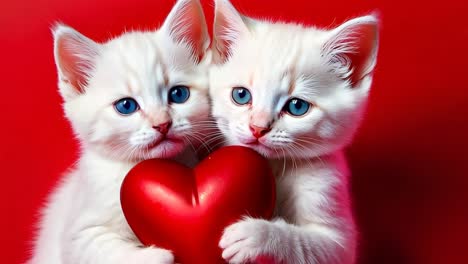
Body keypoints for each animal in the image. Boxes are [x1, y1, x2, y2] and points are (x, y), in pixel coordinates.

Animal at [29, 0, 210, 264]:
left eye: (178, 94)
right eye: (126, 106)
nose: (162, 124)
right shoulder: (78, 237)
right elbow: (108, 250)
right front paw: (158, 254)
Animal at [210, 0, 378, 264]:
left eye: (297, 107)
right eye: (241, 95)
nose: (258, 128)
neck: (274, 166)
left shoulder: (337, 223)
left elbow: (310, 244)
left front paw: (257, 235)